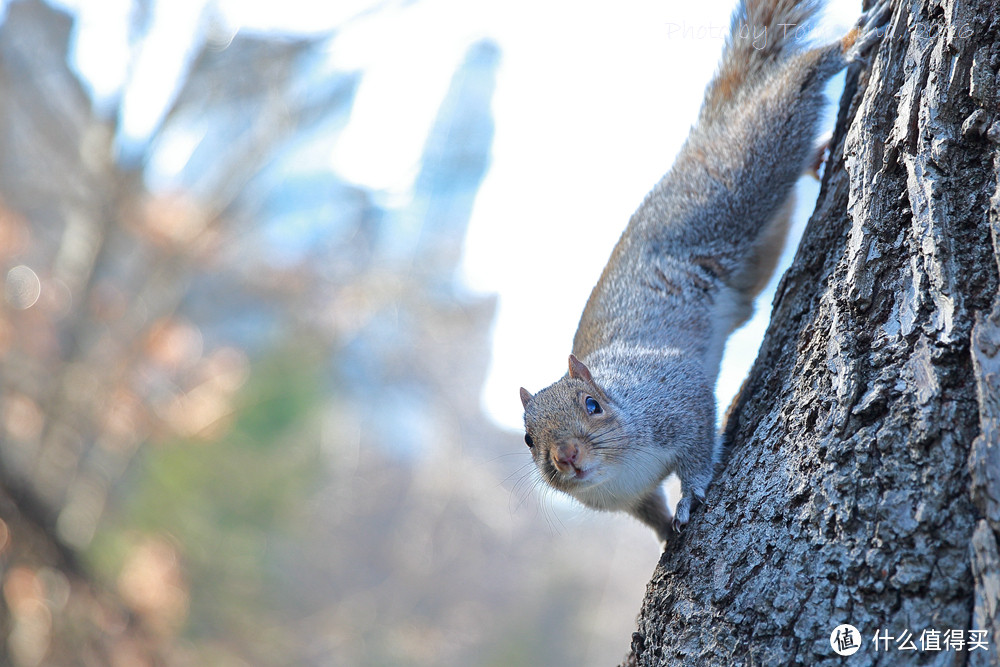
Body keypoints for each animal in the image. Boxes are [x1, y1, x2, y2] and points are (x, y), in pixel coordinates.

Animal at [520, 0, 888, 544]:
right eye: (528, 439)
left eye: (592, 405)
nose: (566, 456)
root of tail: (696, 145)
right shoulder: (628, 499)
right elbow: (650, 512)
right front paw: (664, 537)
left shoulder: (675, 393)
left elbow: (695, 448)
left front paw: (691, 496)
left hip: (733, 183)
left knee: (781, 104)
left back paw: (845, 47)